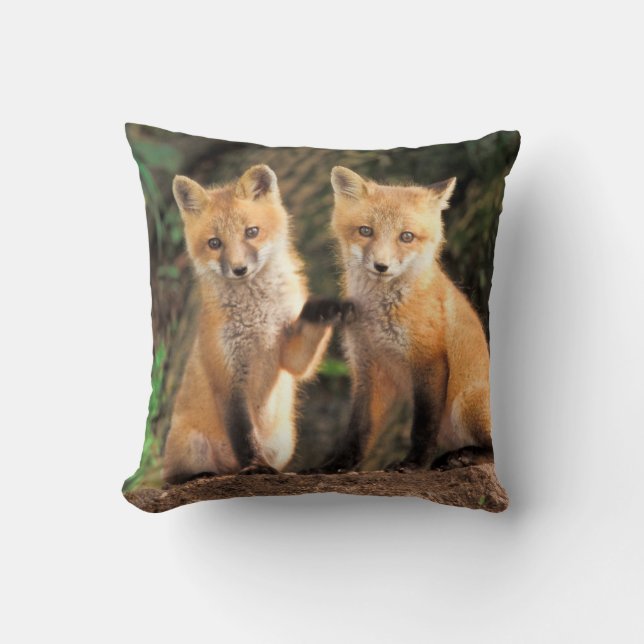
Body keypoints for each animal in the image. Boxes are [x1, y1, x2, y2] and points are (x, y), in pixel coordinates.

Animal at [163, 164, 352, 483]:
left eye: (251, 232)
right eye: (215, 243)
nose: (239, 269)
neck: (257, 318)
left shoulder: (288, 355)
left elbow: (303, 351)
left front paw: (326, 308)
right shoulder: (229, 377)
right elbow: (244, 435)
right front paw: (255, 466)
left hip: (285, 442)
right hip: (191, 447)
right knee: (177, 476)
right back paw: (204, 475)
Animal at [323, 166, 493, 473]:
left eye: (406, 237)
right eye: (365, 231)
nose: (381, 266)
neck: (378, 316)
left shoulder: (429, 359)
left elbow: (423, 426)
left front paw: (413, 463)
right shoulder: (368, 366)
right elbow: (358, 428)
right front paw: (338, 465)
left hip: (465, 402)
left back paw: (464, 456)